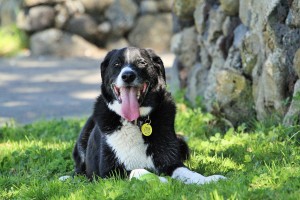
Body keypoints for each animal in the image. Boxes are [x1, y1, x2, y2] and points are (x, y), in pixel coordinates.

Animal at [72, 47, 225, 184]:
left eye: (141, 62)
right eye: (116, 64)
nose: (128, 76)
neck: (136, 121)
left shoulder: (171, 162)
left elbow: (187, 172)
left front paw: (208, 179)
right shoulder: (109, 172)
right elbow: (138, 170)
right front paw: (159, 179)